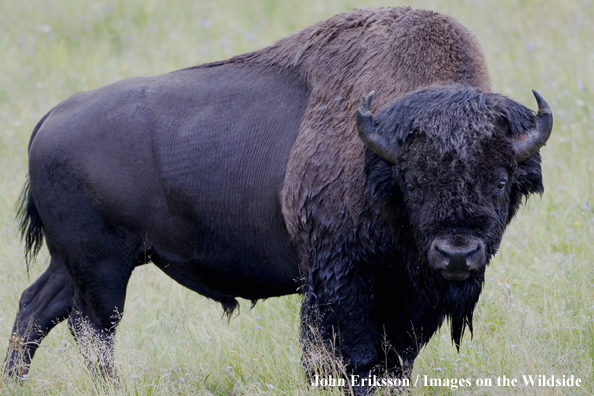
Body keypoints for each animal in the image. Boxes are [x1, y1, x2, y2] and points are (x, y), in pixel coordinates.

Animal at [5, 5, 552, 392]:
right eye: (412, 181)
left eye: (501, 180)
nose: (457, 254)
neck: (380, 159)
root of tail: (50, 119)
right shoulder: (338, 284)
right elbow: (347, 358)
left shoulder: (409, 301)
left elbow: (396, 362)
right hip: (103, 267)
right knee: (94, 329)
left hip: (73, 262)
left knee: (38, 308)